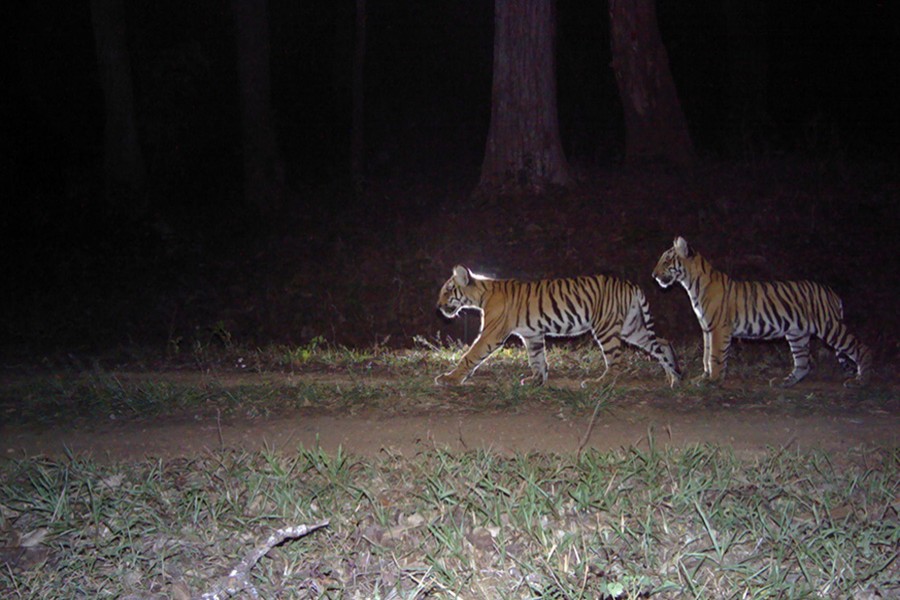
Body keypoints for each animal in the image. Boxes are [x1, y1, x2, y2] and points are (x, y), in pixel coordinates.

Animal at [434, 265, 681, 387]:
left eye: (447, 290)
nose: (438, 306)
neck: (482, 293)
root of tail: (629, 283)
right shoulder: (532, 335)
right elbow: (537, 359)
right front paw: (536, 381)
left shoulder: (491, 334)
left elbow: (471, 355)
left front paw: (450, 379)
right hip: (631, 326)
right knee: (662, 342)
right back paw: (673, 377)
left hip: (606, 328)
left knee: (616, 361)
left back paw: (598, 384)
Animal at [652, 236, 871, 387]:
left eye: (667, 261)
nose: (653, 275)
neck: (691, 283)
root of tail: (832, 293)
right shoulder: (707, 329)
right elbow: (706, 355)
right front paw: (704, 376)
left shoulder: (718, 329)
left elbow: (715, 356)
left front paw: (713, 380)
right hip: (797, 333)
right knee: (803, 363)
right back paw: (784, 382)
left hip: (829, 326)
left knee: (860, 348)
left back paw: (861, 380)